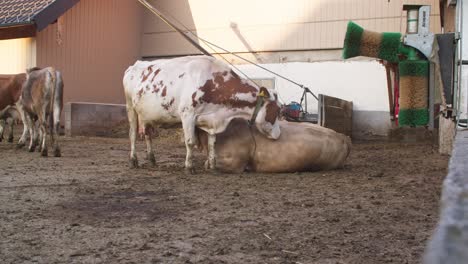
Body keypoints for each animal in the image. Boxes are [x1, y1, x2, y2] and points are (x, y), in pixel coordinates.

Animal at [122, 55, 280, 172]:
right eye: (278, 111)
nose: (278, 135)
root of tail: (134, 66)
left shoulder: (211, 120)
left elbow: (212, 143)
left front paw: (212, 166)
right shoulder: (187, 115)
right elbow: (190, 142)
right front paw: (189, 167)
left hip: (146, 114)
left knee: (147, 134)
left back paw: (152, 159)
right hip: (130, 107)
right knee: (133, 134)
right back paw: (133, 160)